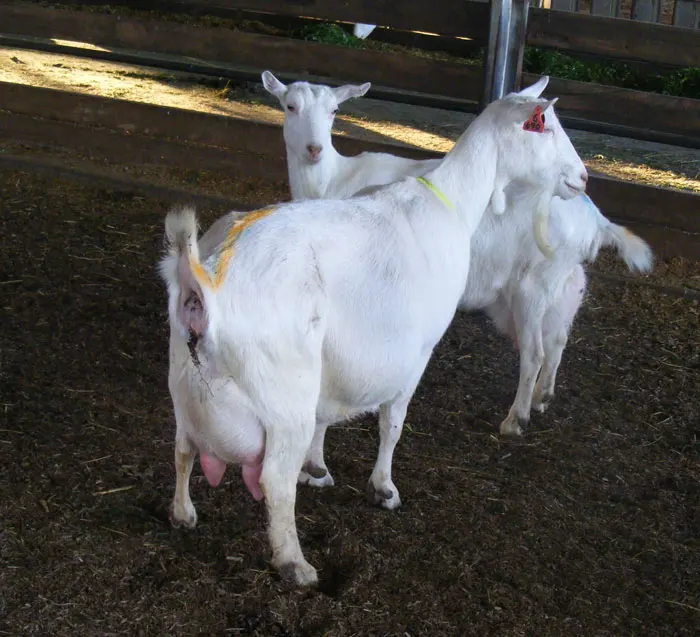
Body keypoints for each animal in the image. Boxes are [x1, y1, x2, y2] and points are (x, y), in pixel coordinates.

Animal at [160, 83, 586, 586]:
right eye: (547, 126)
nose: (582, 177)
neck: (450, 201)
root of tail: (205, 282)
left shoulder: (334, 364)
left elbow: (326, 419)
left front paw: (318, 468)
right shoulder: (417, 351)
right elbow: (392, 423)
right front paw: (383, 488)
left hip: (183, 382)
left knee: (182, 448)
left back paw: (183, 513)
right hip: (283, 394)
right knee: (274, 482)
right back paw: (296, 564)